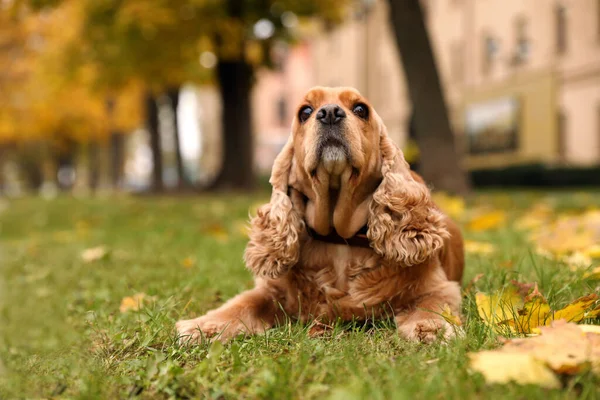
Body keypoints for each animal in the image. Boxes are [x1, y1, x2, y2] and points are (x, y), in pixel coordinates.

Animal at [176, 86, 466, 344]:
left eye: (360, 109)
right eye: (305, 111)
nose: (329, 112)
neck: (339, 239)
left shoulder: (438, 286)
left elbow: (432, 303)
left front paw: (430, 328)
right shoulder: (272, 288)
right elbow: (244, 302)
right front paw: (201, 326)